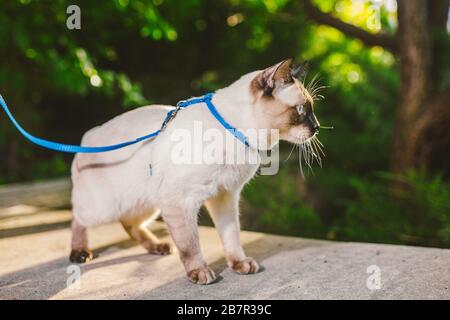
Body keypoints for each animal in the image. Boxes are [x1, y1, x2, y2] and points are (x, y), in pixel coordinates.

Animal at [69, 58, 320, 284]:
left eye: (311, 110)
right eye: (301, 110)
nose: (317, 127)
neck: (237, 134)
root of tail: (89, 134)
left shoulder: (225, 196)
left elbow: (231, 236)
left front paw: (240, 264)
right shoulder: (181, 202)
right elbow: (190, 245)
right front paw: (200, 273)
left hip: (147, 204)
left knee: (129, 224)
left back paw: (158, 247)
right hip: (105, 209)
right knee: (78, 218)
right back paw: (80, 253)